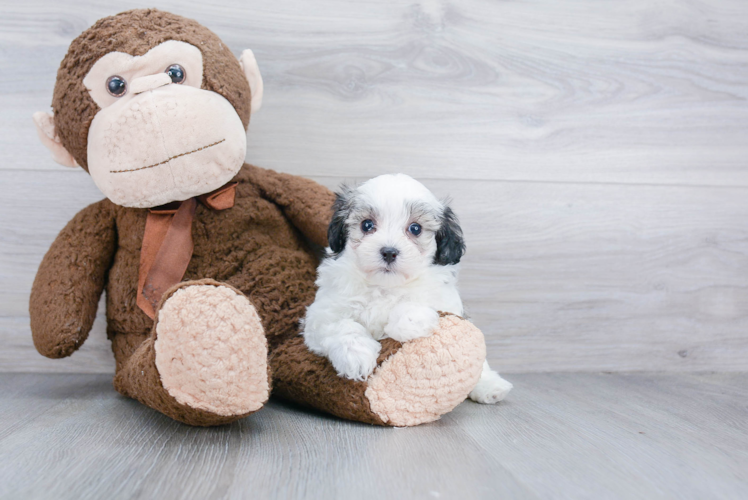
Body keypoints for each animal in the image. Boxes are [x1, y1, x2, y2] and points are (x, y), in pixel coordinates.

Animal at [300, 174, 512, 404]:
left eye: (415, 228)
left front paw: (408, 323)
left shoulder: (445, 303)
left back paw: (490, 386)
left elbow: (413, 308)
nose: (389, 252)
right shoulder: (321, 315)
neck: (385, 286)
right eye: (367, 225)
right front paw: (356, 356)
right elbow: (342, 326)